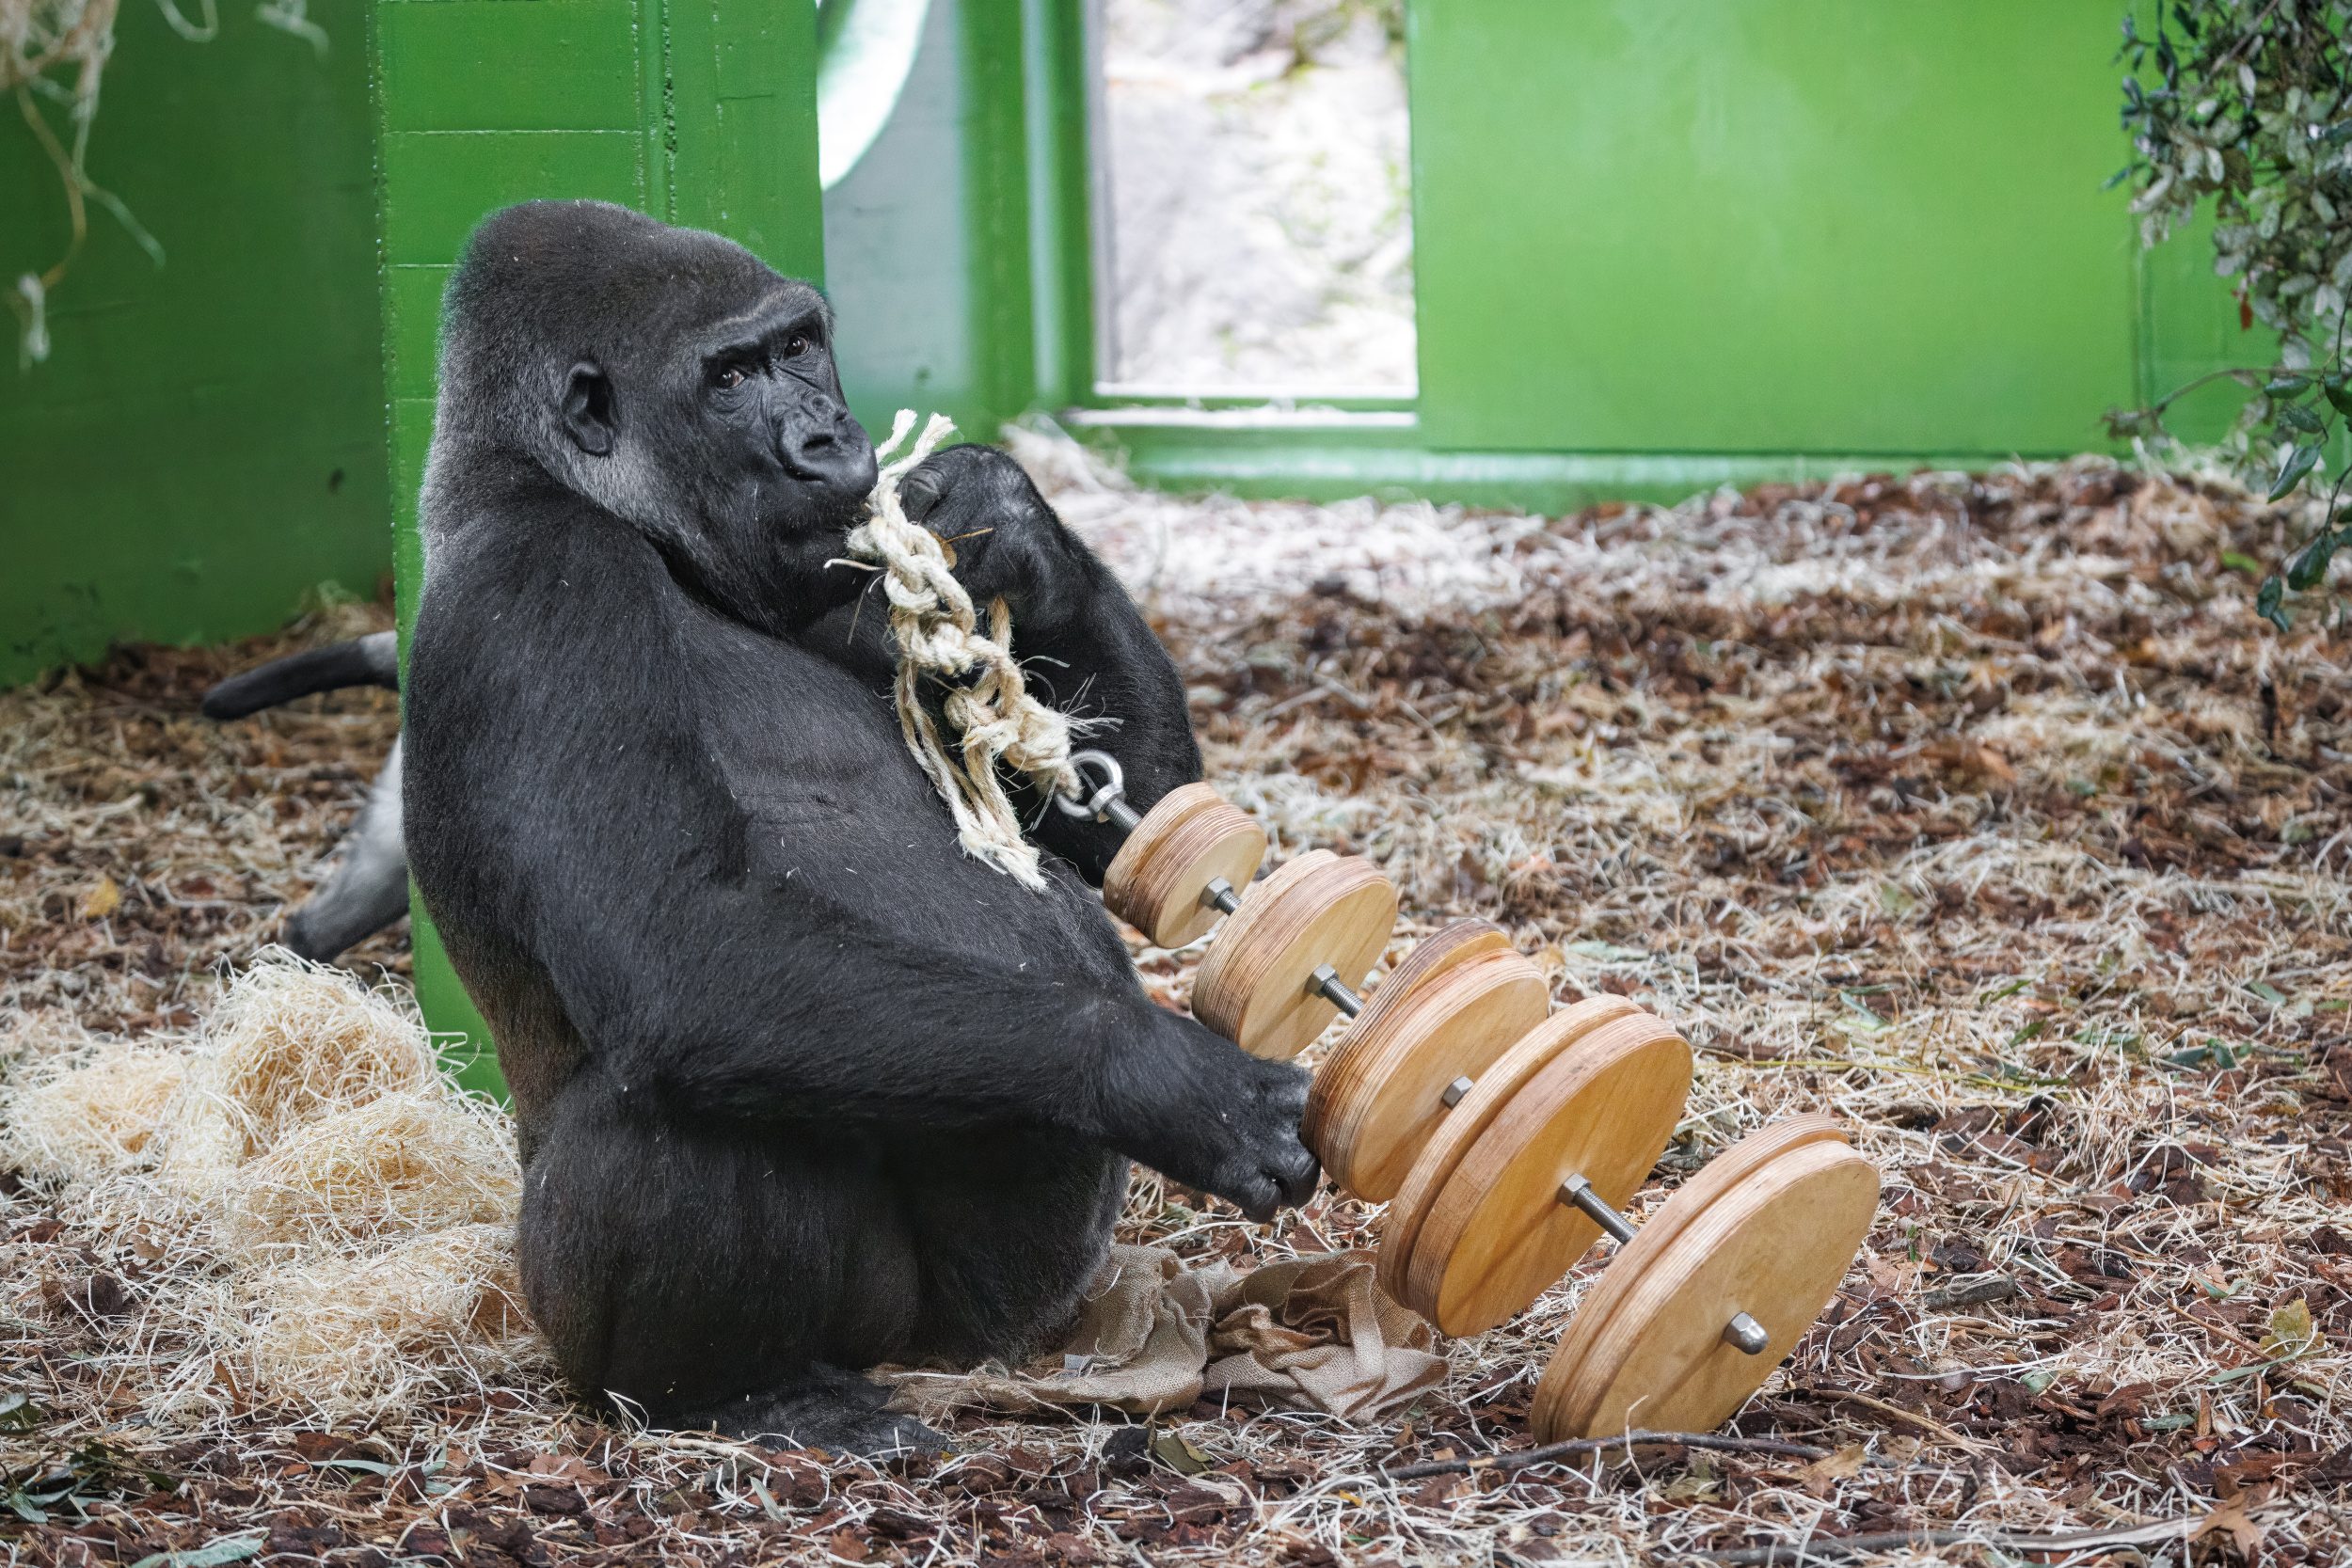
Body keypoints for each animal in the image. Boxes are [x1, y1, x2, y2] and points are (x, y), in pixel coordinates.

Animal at [405, 201, 1327, 1457]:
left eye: (799, 346)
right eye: (730, 377)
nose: (828, 434)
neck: (541, 486)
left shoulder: (851, 571)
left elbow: (1119, 823)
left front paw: (1011, 516)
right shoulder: (540, 595)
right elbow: (678, 940)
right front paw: (1167, 1076)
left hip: (981, 1321)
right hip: (665, 1321)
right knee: (682, 1092)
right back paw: (736, 1392)